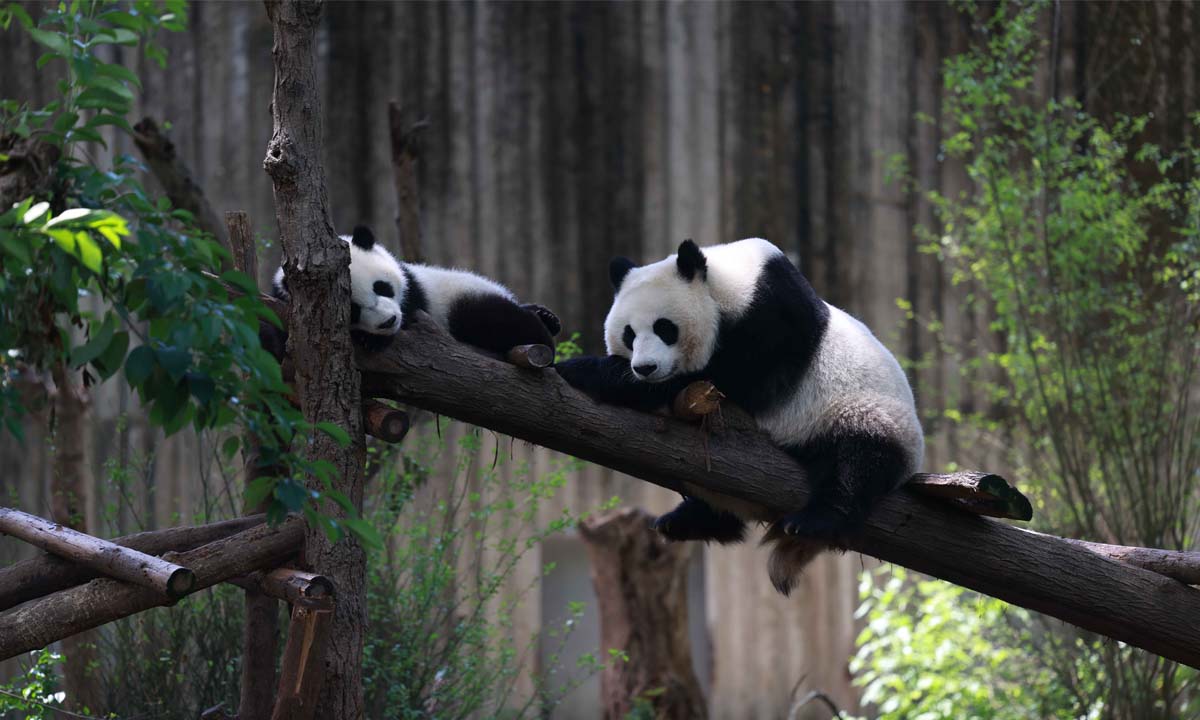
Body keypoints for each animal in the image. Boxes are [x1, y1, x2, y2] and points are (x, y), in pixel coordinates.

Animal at [267, 225, 556, 357]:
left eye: (381, 287)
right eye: (353, 310)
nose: (388, 321)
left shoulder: (414, 293)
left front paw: (372, 340)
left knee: (498, 320)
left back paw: (545, 330)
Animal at [556, 238, 921, 592]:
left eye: (664, 328)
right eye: (629, 334)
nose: (645, 368)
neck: (726, 285)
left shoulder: (770, 323)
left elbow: (721, 377)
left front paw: (581, 369)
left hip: (863, 414)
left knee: (857, 462)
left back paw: (814, 521)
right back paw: (690, 520)